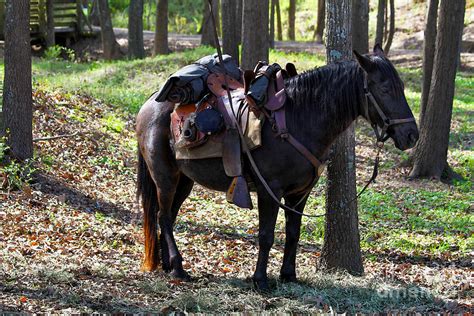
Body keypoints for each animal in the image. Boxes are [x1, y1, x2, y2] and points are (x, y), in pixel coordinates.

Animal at [136, 45, 418, 290]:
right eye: (385, 89)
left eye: (401, 87)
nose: (412, 135)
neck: (297, 120)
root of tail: (150, 103)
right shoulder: (269, 190)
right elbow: (266, 234)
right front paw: (260, 279)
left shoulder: (299, 194)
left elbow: (293, 233)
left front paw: (288, 275)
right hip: (165, 176)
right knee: (163, 216)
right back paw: (178, 267)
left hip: (185, 179)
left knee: (169, 215)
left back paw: (167, 265)